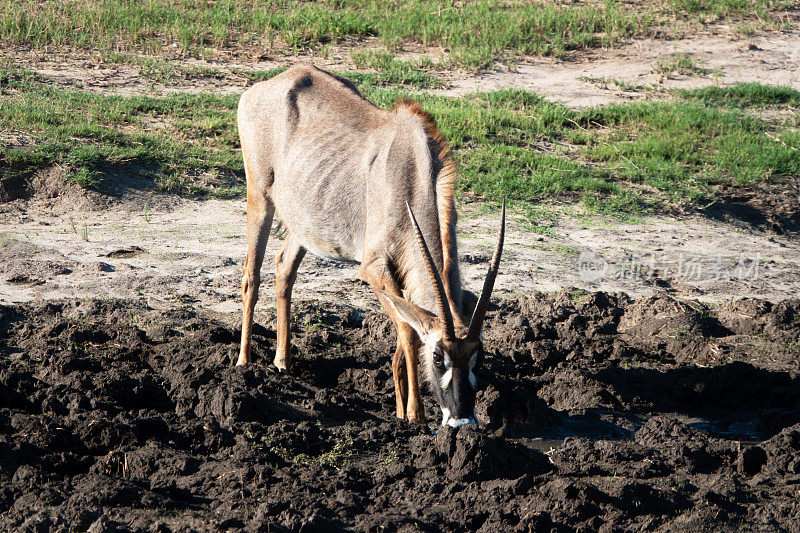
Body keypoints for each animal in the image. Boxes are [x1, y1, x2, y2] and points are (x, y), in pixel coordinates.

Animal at [234, 64, 504, 426]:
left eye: (479, 357)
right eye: (437, 356)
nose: (462, 420)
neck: (412, 172)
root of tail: (268, 84)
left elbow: (406, 327)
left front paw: (402, 409)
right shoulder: (373, 268)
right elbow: (407, 330)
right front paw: (414, 415)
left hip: (305, 221)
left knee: (283, 268)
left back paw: (282, 362)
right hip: (259, 195)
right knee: (251, 275)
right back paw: (244, 363)